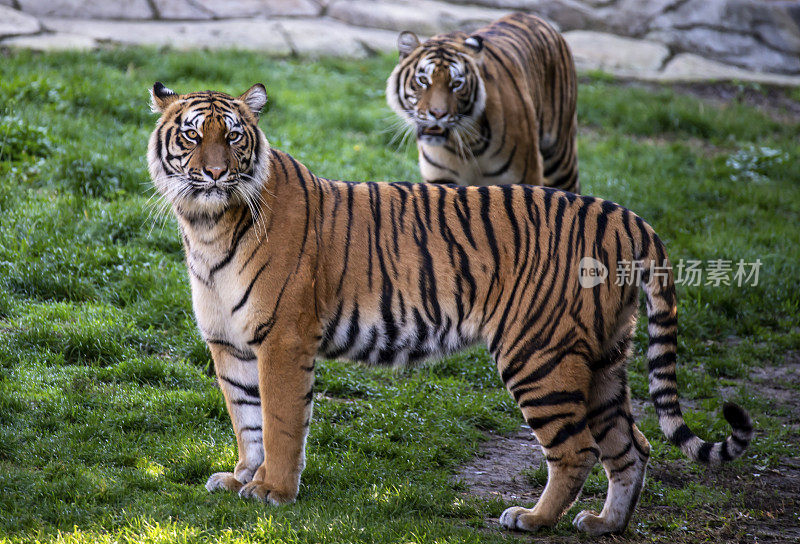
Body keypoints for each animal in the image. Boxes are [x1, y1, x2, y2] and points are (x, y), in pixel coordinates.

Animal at [148, 84, 752, 536]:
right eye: (193, 134)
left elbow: (278, 422)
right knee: (632, 446)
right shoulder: (229, 343)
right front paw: (240, 479)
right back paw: (604, 524)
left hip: (540, 354)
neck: (207, 225)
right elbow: (245, 419)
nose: (215, 174)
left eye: (233, 136)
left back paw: (532, 519)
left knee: (577, 449)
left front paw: (272, 491)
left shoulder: (283, 340)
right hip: (604, 358)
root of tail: (628, 218)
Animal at [384, 11, 580, 192]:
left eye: (456, 84)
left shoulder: (527, 175)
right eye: (423, 80)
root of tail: (531, 16)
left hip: (560, 157)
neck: (466, 144)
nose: (438, 114)